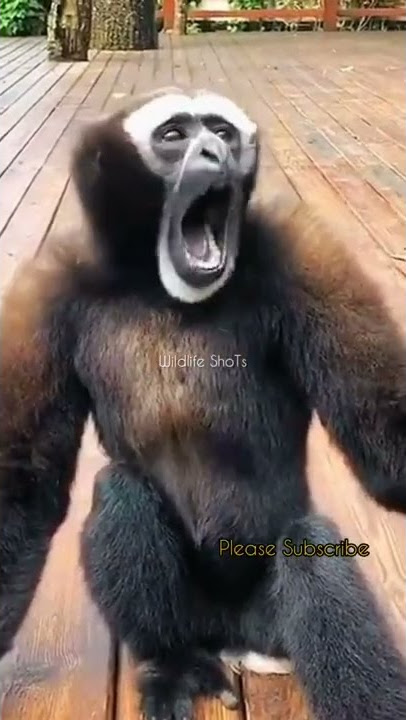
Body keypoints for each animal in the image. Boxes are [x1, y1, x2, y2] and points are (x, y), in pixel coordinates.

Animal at [0, 86, 406, 720]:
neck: (158, 287)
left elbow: (383, 447)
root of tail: (231, 632)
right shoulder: (50, 285)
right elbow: (24, 488)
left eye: (221, 131)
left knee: (305, 545)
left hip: (266, 621)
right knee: (121, 491)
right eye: (175, 136)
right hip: (197, 617)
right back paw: (174, 662)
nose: (217, 153)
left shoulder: (301, 249)